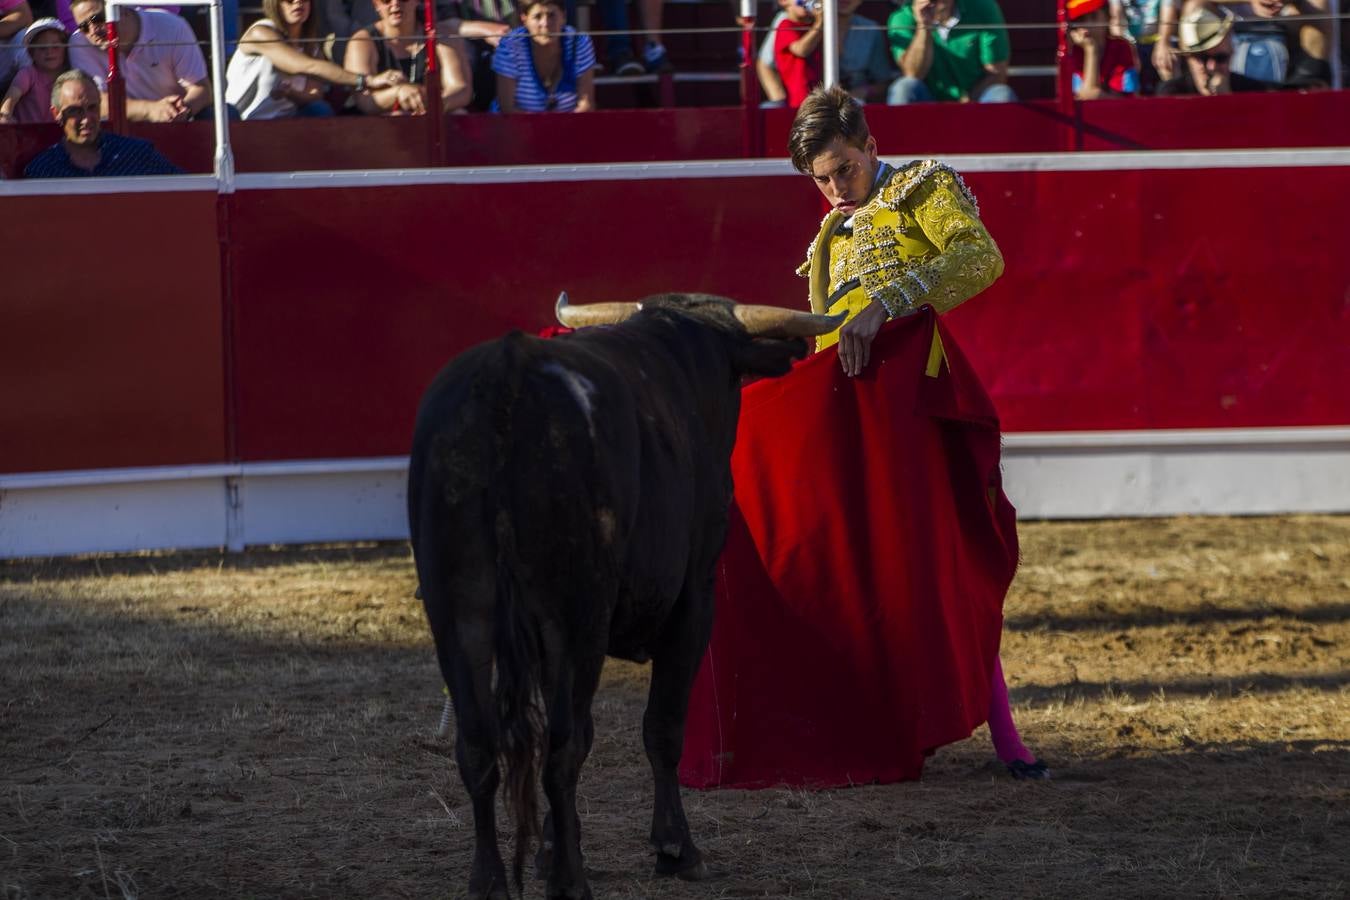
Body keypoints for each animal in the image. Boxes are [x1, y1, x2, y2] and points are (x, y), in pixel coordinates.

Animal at [405, 292, 837, 895]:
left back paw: (489, 881)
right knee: (562, 748)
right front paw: (675, 848)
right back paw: (570, 881)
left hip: (457, 615)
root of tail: (508, 375)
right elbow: (663, 725)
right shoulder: (693, 600)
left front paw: (550, 850)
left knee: (479, 745)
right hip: (576, 617)